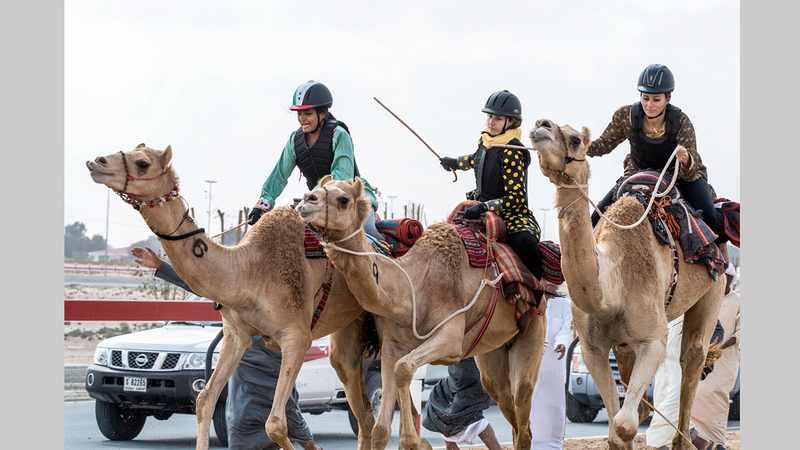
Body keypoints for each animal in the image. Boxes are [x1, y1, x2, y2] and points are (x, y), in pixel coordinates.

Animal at [86, 145, 378, 450]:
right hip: (348, 331)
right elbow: (205, 399)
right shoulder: (236, 334)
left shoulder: (297, 337)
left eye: (142, 163)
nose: (97, 162)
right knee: (362, 408)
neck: (250, 269)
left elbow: (275, 423)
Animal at [296, 176, 548, 450]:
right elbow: (382, 423)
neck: (415, 285)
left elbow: (404, 369)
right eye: (315, 189)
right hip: (493, 352)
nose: (305, 201)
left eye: (343, 199)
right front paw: (413, 439)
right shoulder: (392, 345)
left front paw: (415, 440)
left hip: (534, 328)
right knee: (504, 401)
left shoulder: (451, 338)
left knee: (522, 400)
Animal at [528, 119, 720, 450]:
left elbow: (625, 425)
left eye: (575, 139)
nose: (542, 125)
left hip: (715, 287)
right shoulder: (591, 348)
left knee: (693, 357)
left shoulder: (653, 341)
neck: (611, 289)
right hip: (623, 344)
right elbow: (618, 431)